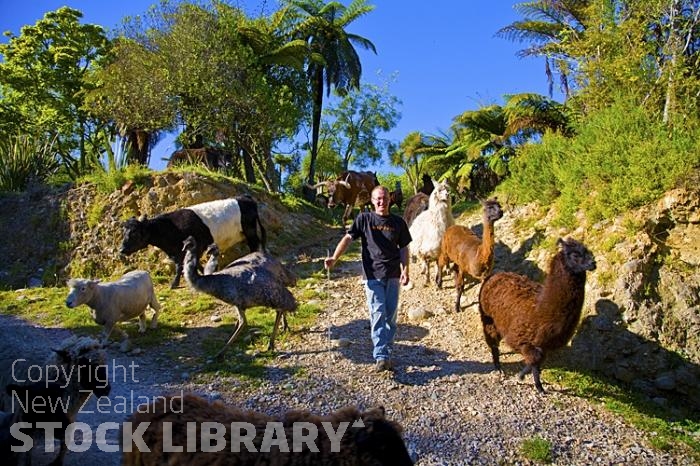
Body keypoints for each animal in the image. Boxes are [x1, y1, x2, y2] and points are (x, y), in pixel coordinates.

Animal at [120, 194, 266, 288]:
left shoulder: (195, 246)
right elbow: (189, 263)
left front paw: (174, 284)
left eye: (134, 232)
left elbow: (183, 265)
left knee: (254, 244)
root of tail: (245, 197)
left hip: (250, 231)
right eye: (124, 232)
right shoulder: (179, 251)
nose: (121, 249)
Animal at [482, 237, 596, 394]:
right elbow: (534, 360)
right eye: (575, 255)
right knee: (493, 343)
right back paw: (498, 367)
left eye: (587, 250)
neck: (541, 309)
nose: (593, 263)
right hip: (489, 320)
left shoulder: (544, 344)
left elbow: (537, 361)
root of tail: (496, 274)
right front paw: (526, 379)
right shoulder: (523, 340)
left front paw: (537, 384)